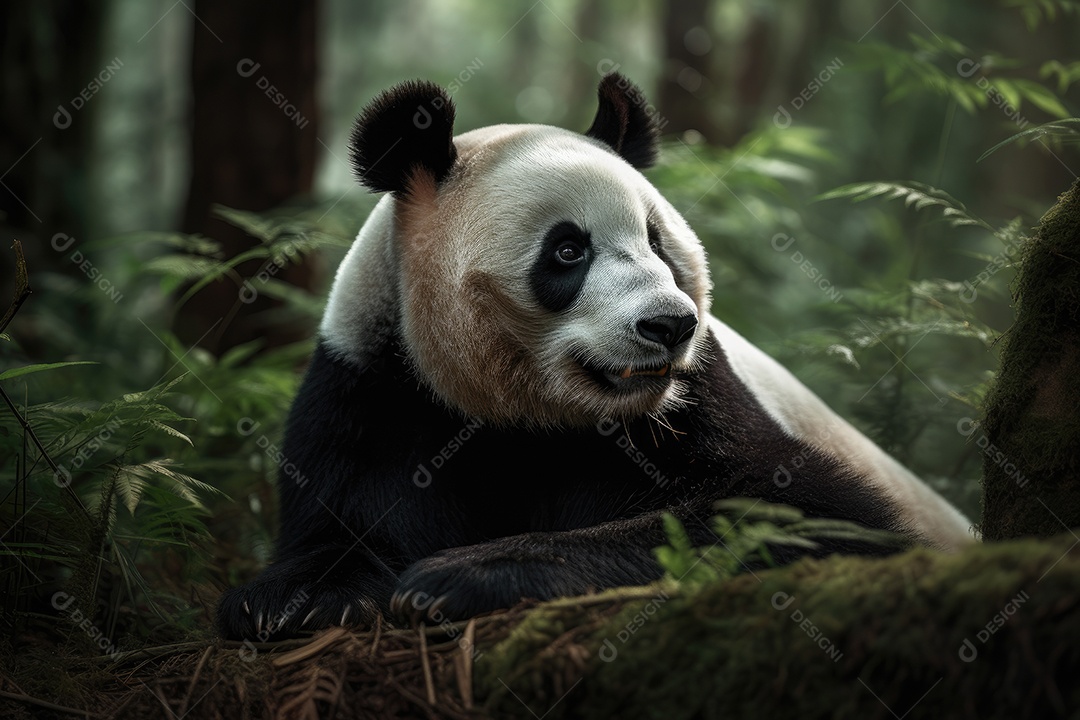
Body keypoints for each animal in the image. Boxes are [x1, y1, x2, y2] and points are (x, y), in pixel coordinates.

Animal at [216, 73, 973, 640]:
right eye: (567, 250)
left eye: (657, 240)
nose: (669, 325)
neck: (529, 418)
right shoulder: (377, 383)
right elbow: (342, 513)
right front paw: (289, 601)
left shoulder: (696, 402)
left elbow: (817, 513)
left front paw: (462, 576)